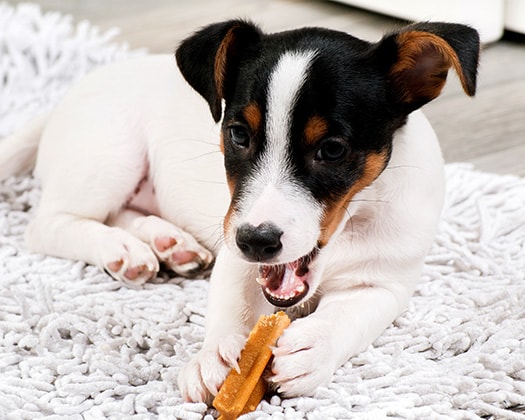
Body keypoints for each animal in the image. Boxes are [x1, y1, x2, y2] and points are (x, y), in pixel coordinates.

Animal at [0, 20, 476, 404]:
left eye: (332, 149)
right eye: (239, 135)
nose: (257, 241)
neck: (351, 228)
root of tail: (62, 100)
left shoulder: (385, 284)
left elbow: (349, 316)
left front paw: (312, 349)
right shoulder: (235, 247)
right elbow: (231, 303)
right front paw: (215, 356)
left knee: (120, 212)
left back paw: (166, 244)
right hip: (109, 155)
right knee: (49, 223)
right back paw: (121, 248)